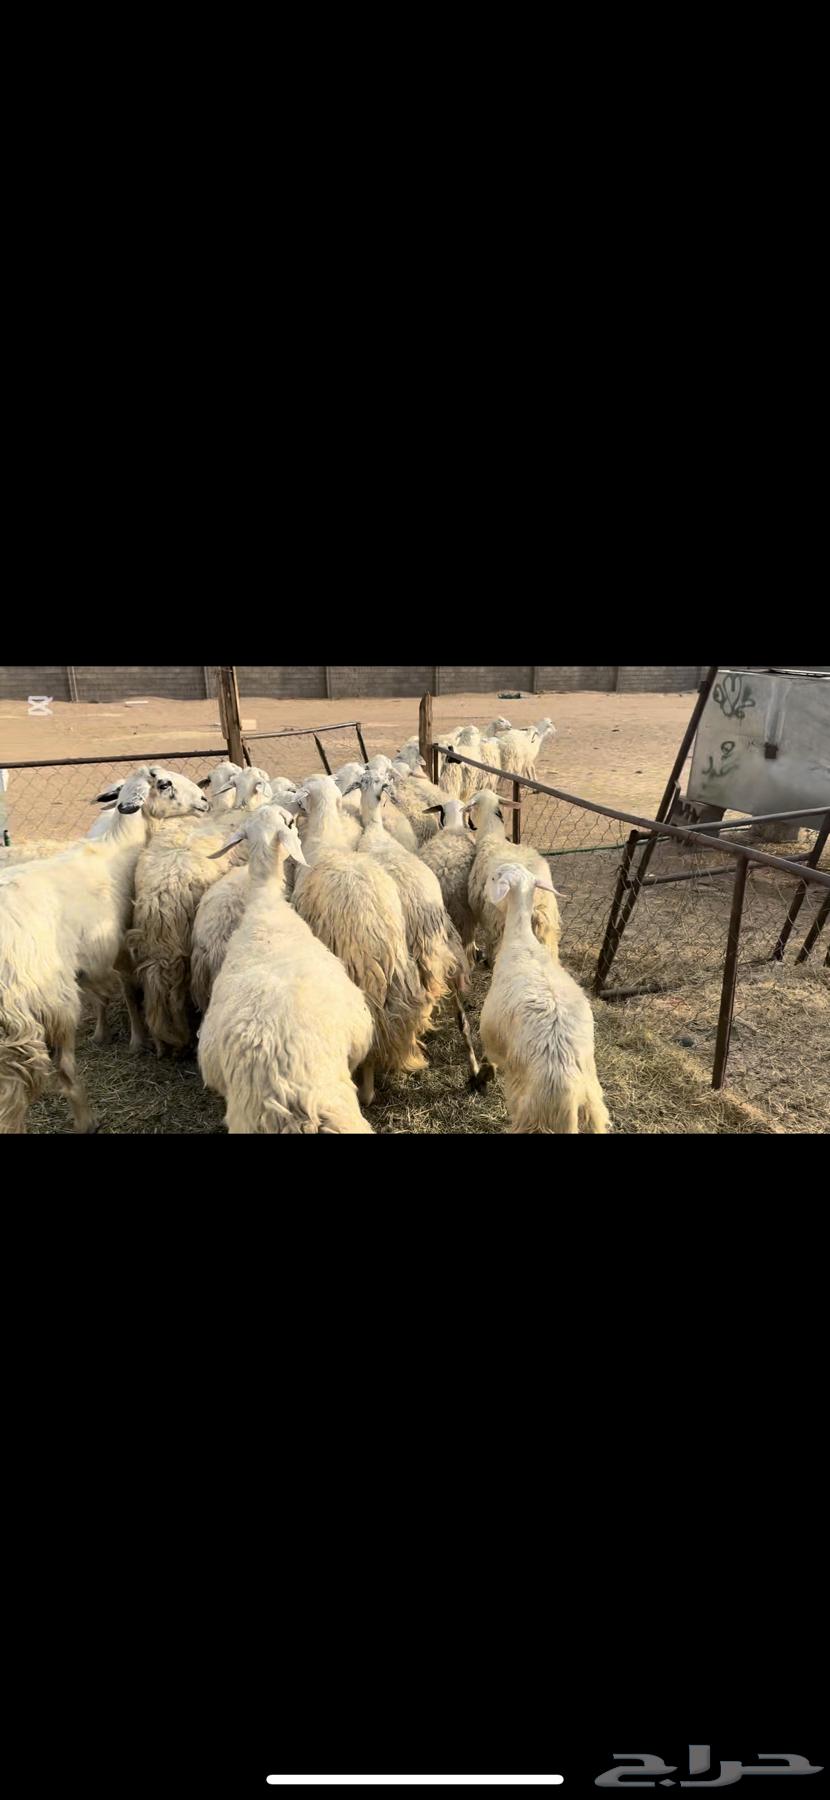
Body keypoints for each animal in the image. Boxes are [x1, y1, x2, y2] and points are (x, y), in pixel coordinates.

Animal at [0, 771, 162, 1133]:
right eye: (161, 783)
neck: (112, 847)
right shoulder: (117, 946)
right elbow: (126, 990)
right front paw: (137, 1039)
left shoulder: (92, 960)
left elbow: (105, 994)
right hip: (45, 1007)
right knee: (54, 1074)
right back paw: (86, 1118)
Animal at [465, 789, 561, 966]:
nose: (470, 824)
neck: (491, 835)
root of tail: (537, 899)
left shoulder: (488, 917)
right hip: (548, 926)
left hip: (503, 922)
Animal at [479, 860, 610, 1133]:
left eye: (495, 877)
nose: (484, 892)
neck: (522, 939)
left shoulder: (491, 1036)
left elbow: (491, 1057)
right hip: (594, 1107)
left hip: (535, 1114)